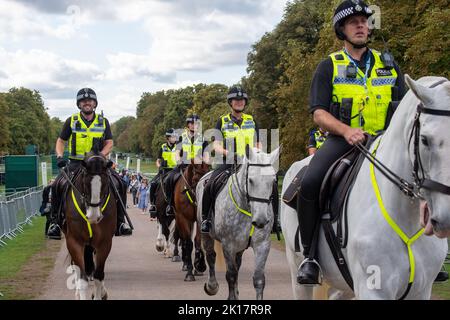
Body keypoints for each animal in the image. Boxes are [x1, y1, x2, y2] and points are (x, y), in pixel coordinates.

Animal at [62, 152, 117, 300]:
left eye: (105, 183)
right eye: (85, 183)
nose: (93, 216)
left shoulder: (104, 243)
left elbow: (98, 276)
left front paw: (100, 293)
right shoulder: (74, 241)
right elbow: (82, 279)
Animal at [198, 148, 282, 300]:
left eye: (273, 180)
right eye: (250, 180)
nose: (260, 220)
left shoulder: (262, 244)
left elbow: (259, 279)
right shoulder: (228, 245)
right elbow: (231, 275)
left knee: (237, 263)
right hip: (205, 234)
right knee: (211, 256)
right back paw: (212, 286)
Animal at [282, 75, 450, 300]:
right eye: (424, 140)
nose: (446, 218)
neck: (405, 216)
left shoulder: (421, 291)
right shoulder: (372, 290)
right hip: (297, 272)